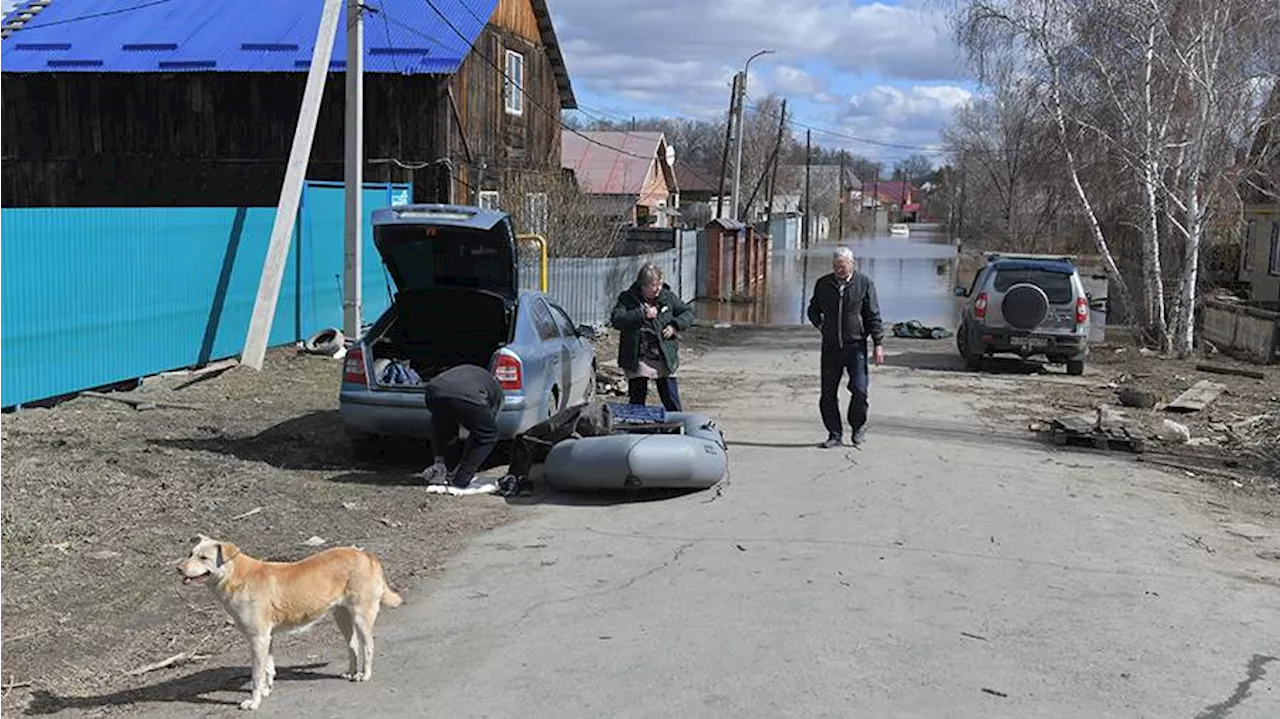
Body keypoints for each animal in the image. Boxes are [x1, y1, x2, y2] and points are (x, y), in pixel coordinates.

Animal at [177, 534, 401, 706]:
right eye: (190, 553)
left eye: (204, 557)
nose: (179, 569)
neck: (236, 577)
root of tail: (365, 554)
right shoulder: (266, 639)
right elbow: (268, 669)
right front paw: (267, 690)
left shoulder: (258, 639)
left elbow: (256, 675)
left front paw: (254, 702)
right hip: (342, 616)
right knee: (353, 645)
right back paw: (351, 672)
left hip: (361, 616)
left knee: (368, 646)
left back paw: (365, 674)